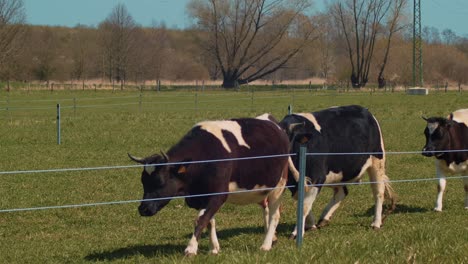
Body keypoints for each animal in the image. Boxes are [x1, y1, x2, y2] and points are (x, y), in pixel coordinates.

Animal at [128, 116, 288, 255]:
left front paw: (191, 248)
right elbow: (209, 221)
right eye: (143, 182)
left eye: (160, 182)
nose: (143, 209)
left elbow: (201, 220)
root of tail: (272, 121)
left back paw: (266, 245)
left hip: (279, 185)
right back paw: (272, 238)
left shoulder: (218, 195)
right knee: (266, 209)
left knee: (275, 214)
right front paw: (214, 248)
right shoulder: (202, 197)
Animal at [280, 105, 396, 239]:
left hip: (377, 162)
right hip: (336, 174)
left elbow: (304, 206)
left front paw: (296, 232)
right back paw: (324, 218)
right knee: (342, 192)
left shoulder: (316, 178)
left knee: (378, 192)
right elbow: (302, 201)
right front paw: (310, 225)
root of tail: (364, 110)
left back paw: (376, 223)